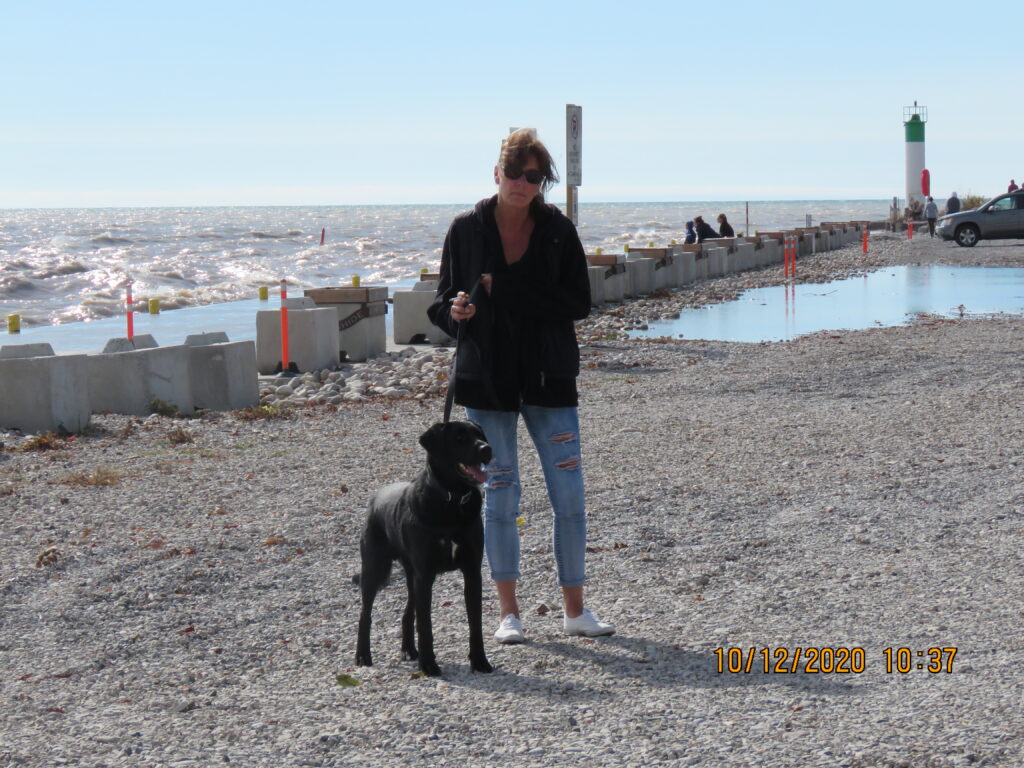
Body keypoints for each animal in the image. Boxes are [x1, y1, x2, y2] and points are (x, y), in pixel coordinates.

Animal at [356, 421, 491, 679]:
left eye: (480, 434)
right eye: (460, 438)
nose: (486, 449)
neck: (452, 500)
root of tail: (375, 497)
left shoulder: (472, 572)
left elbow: (476, 623)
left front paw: (480, 661)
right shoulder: (426, 575)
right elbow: (426, 625)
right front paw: (429, 666)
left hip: (412, 576)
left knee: (408, 613)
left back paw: (409, 649)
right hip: (374, 569)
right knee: (365, 614)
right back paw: (362, 656)